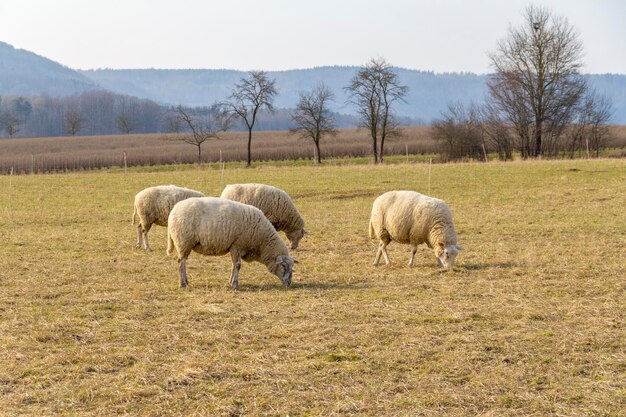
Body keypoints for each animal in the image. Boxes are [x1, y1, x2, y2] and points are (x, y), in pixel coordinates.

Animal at [165, 196, 294, 288]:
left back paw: (186, 281)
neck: (262, 241)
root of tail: (174, 210)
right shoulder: (238, 245)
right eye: (283, 265)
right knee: (181, 262)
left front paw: (231, 281)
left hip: (185, 244)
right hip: (183, 242)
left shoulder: (234, 248)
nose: (289, 283)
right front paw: (235, 284)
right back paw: (182, 283)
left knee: (183, 262)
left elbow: (233, 265)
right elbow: (238, 265)